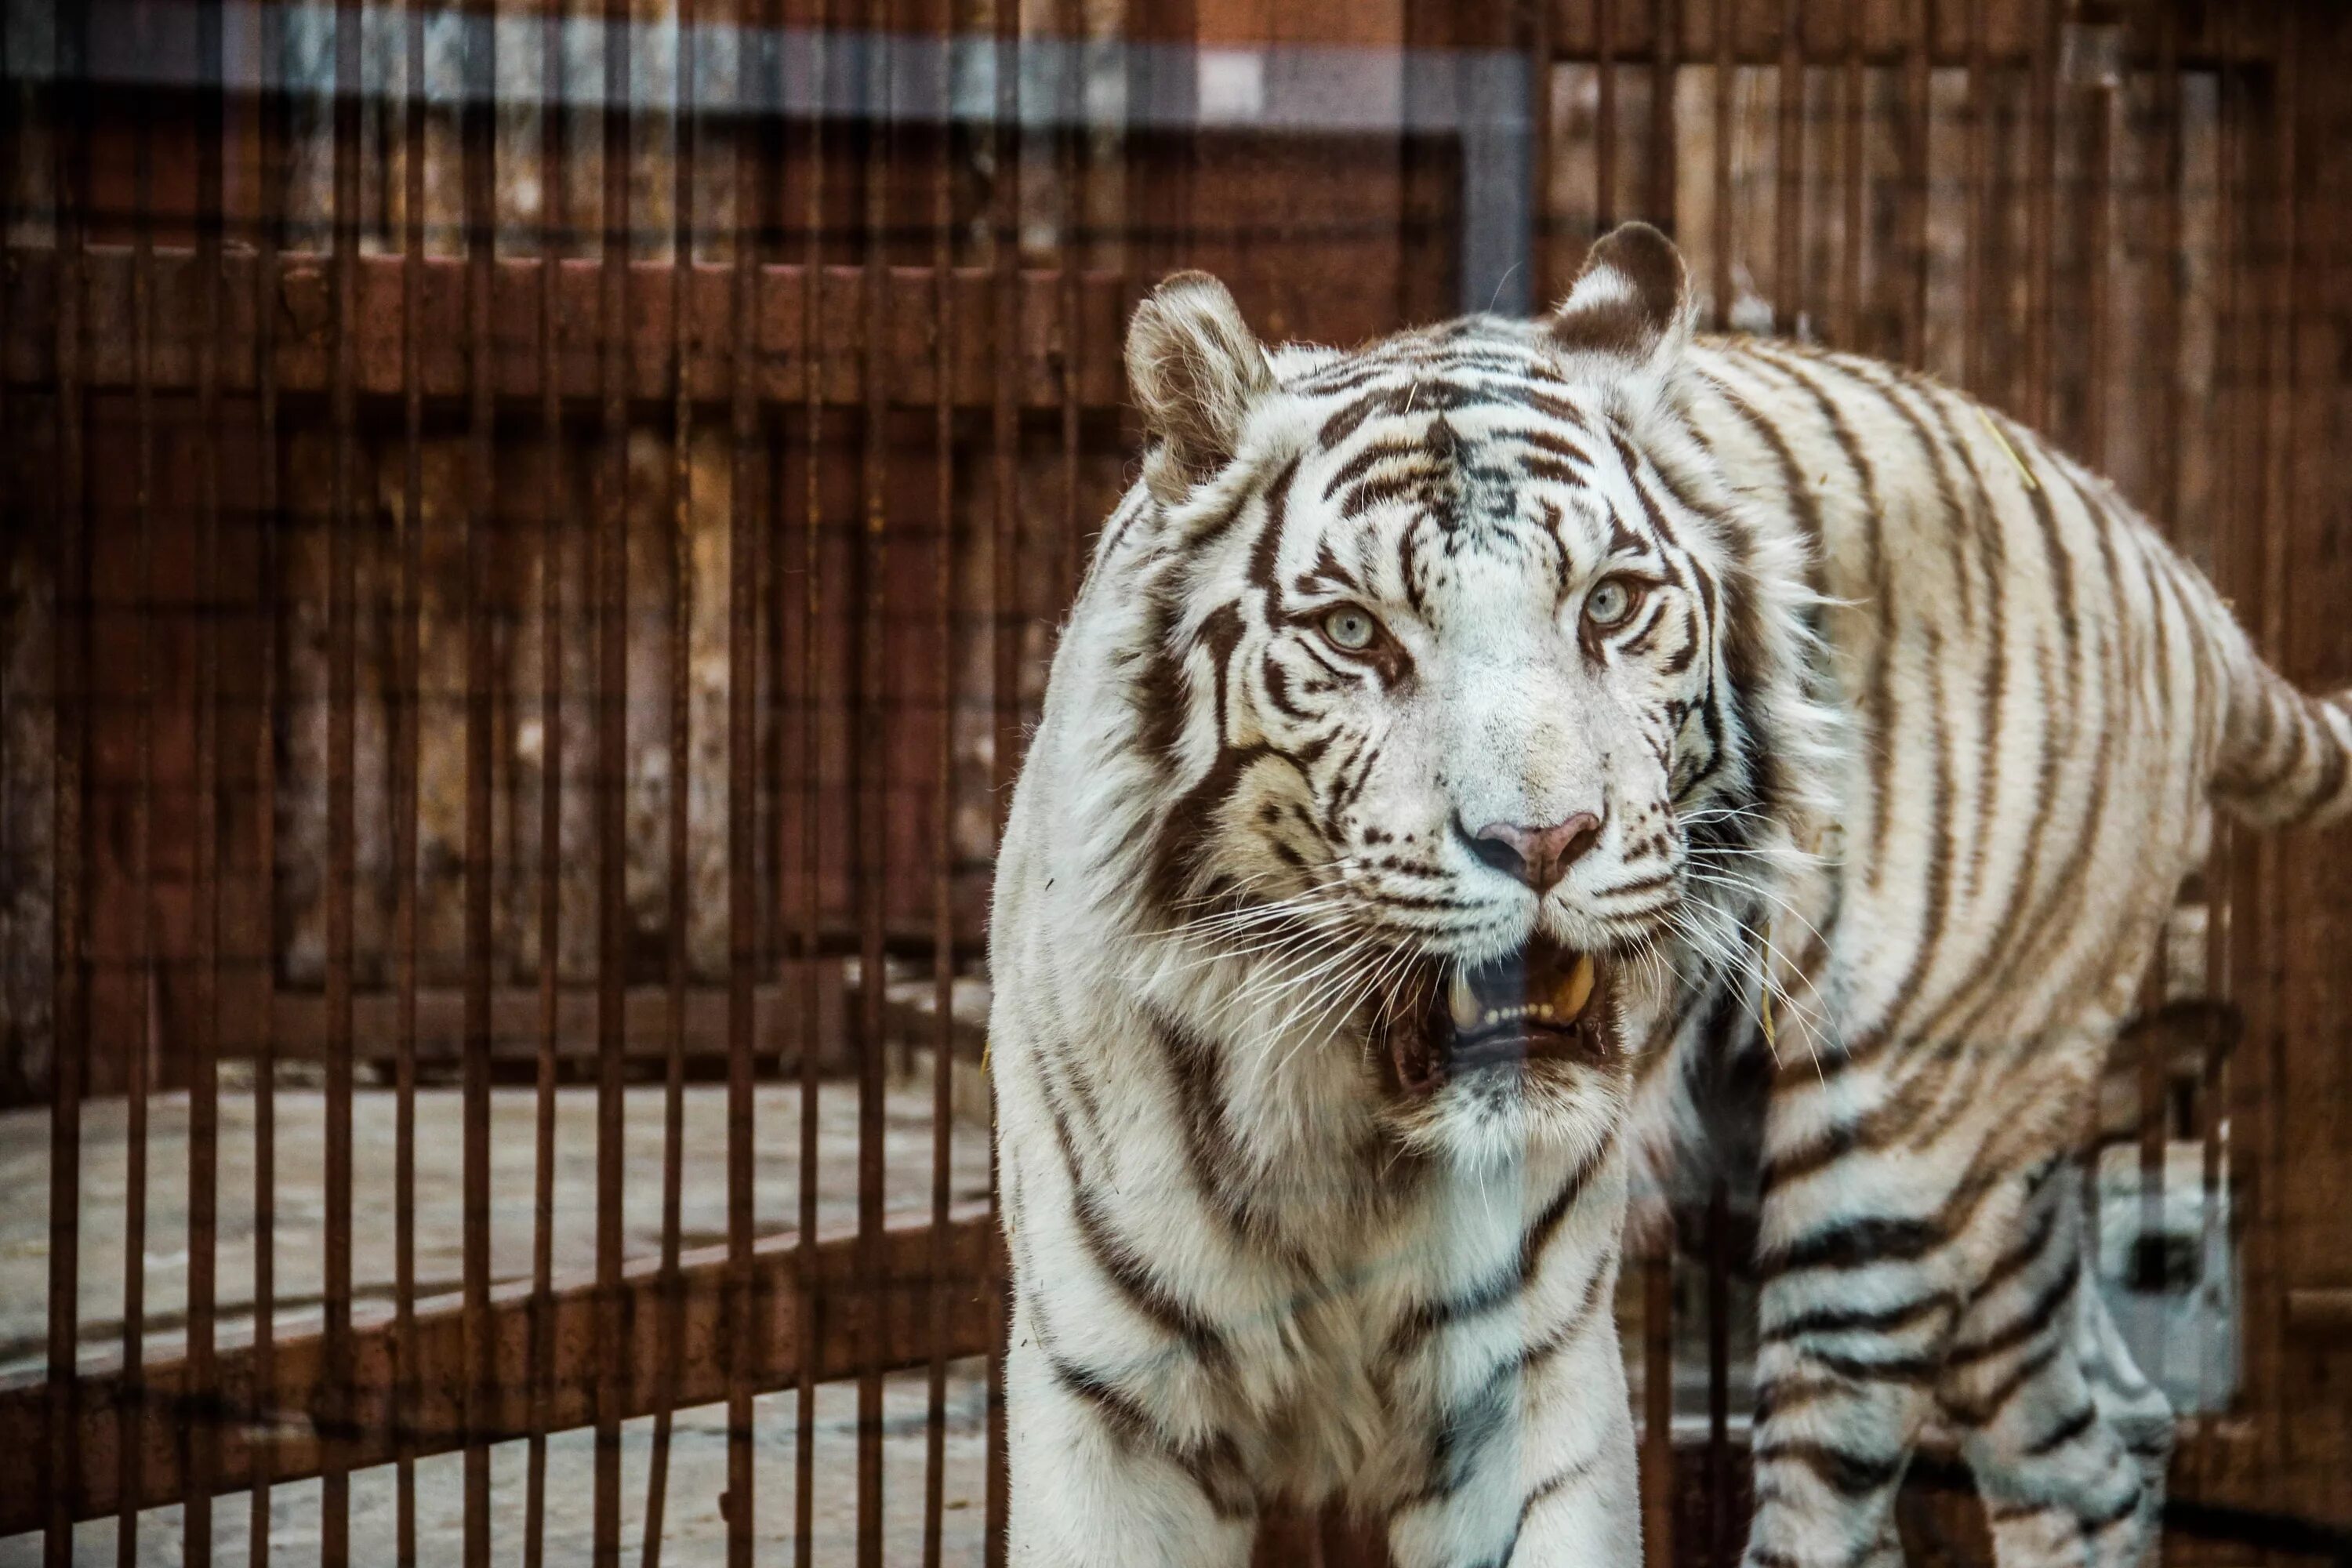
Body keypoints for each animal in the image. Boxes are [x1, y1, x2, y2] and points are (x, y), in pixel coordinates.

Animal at [983, 220, 2343, 1568]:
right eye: (1358, 635)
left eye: (1610, 606)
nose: (1542, 840)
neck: (1340, 1127)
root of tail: (2163, 561)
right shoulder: (1110, 1404)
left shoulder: (1522, 1382)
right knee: (2094, 1455)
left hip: (1890, 1147)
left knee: (1847, 1510)